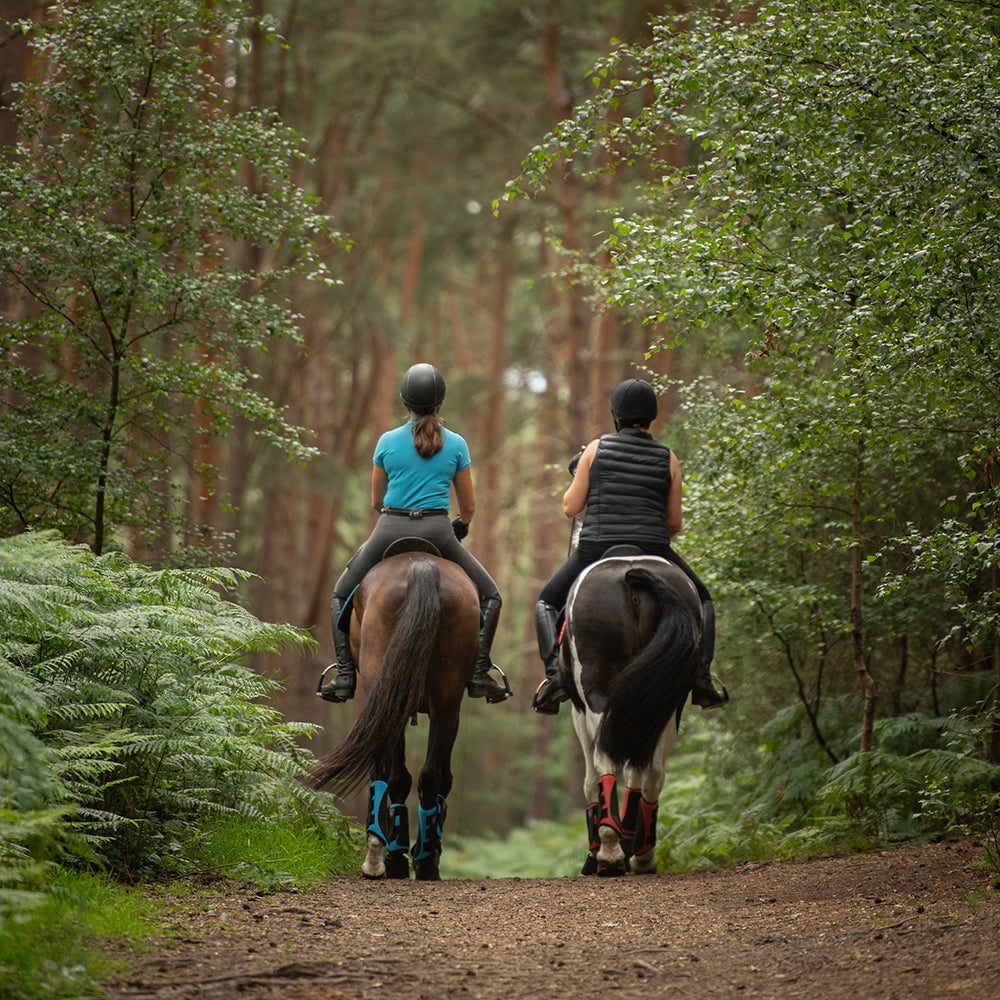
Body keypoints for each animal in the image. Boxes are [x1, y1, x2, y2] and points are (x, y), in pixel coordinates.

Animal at [314, 548, 482, 884]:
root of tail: (421, 567)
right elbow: (431, 778)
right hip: (443, 703)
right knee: (428, 776)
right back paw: (416, 859)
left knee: (399, 774)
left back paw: (387, 857)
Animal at [564, 556, 704, 876]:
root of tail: (633, 573)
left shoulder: (578, 709)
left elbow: (590, 778)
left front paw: (597, 852)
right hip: (667, 700)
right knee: (652, 770)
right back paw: (641, 853)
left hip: (597, 692)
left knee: (605, 759)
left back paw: (610, 851)